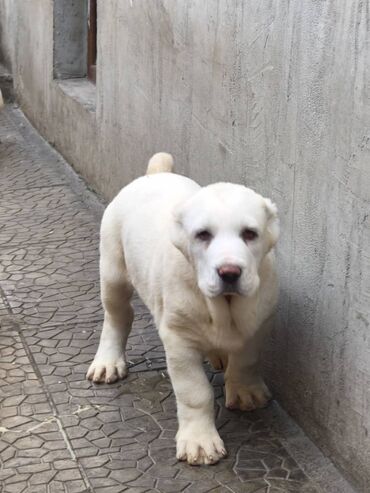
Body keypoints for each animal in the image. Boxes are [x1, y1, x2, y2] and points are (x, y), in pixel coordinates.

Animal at [87, 154, 278, 466]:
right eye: (203, 235)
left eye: (250, 234)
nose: (229, 272)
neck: (223, 306)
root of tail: (156, 173)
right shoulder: (179, 340)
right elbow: (194, 391)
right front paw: (199, 441)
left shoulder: (259, 321)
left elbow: (247, 359)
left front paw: (245, 391)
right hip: (113, 267)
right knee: (117, 316)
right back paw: (108, 361)